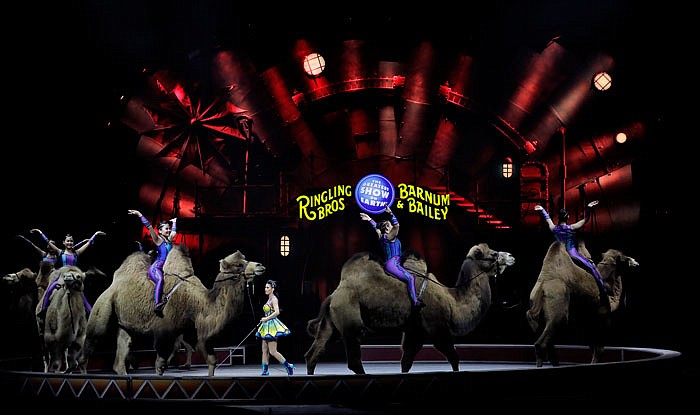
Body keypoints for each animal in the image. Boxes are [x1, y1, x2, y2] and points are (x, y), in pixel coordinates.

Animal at [79, 245, 266, 378]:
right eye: (239, 265)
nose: (260, 266)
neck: (198, 303)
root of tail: (113, 284)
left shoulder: (197, 333)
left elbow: (212, 360)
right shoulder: (165, 332)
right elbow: (160, 364)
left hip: (125, 324)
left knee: (122, 350)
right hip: (103, 307)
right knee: (91, 341)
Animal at [304, 242, 516, 376]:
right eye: (493, 254)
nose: (511, 256)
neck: (452, 300)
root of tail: (333, 295)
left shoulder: (415, 332)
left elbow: (406, 360)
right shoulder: (437, 328)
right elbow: (453, 356)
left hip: (331, 323)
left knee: (314, 352)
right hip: (350, 319)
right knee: (353, 357)